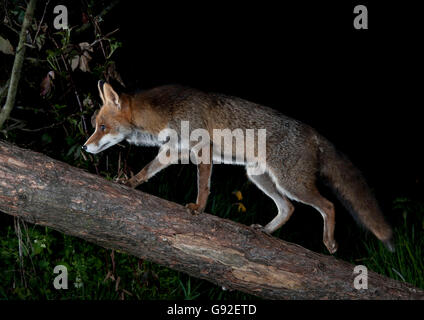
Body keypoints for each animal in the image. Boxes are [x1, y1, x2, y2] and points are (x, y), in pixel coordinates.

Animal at [82, 81, 394, 254]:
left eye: (102, 127)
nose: (85, 148)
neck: (165, 114)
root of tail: (314, 133)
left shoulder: (202, 149)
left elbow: (203, 185)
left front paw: (198, 209)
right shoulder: (173, 150)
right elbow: (146, 171)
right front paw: (129, 183)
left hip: (290, 183)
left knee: (328, 206)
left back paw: (329, 242)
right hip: (260, 178)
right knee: (289, 209)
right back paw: (266, 231)